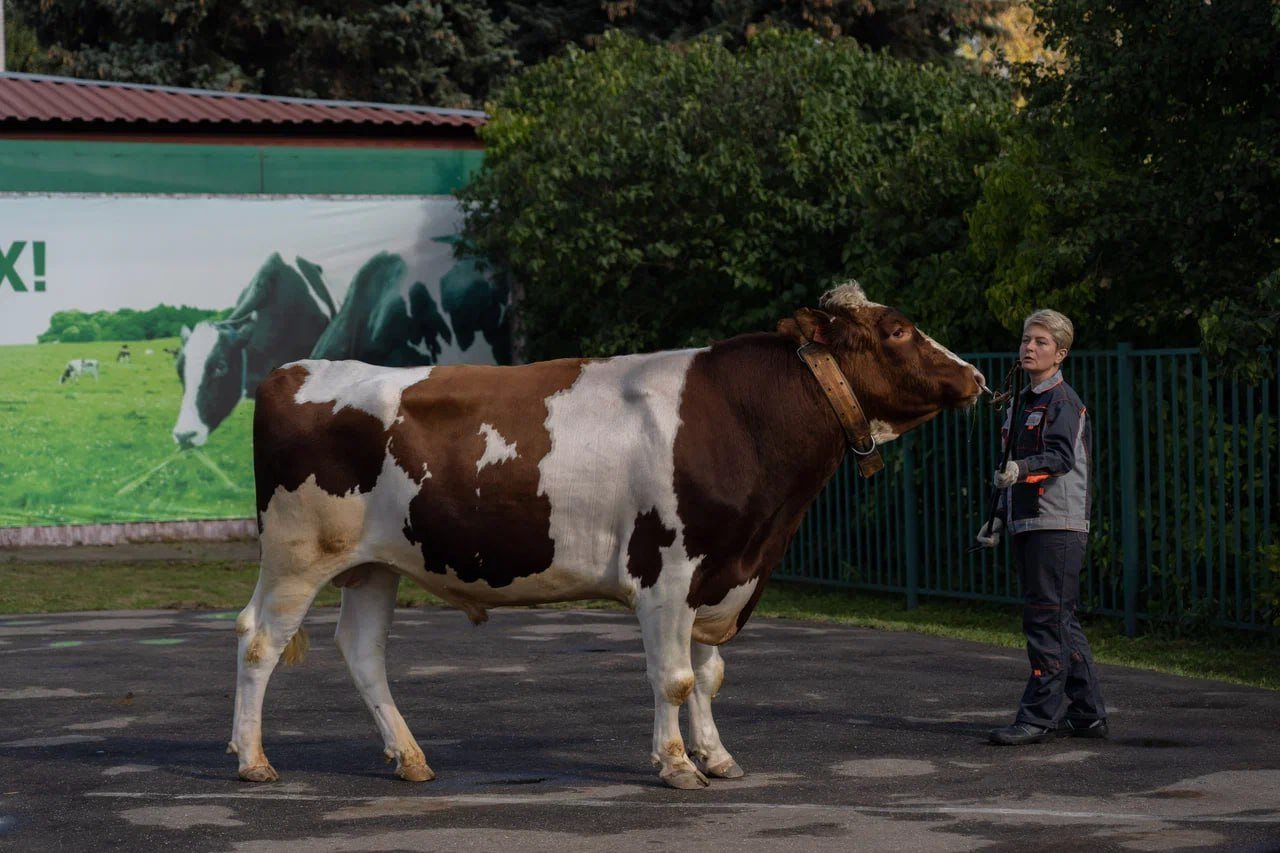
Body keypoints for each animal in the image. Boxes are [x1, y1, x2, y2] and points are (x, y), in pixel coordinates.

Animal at [230, 281, 983, 788]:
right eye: (897, 329)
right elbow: (675, 678)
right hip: (298, 553)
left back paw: (410, 757)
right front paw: (676, 765)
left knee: (362, 652)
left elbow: (710, 675)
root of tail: (296, 369)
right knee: (260, 639)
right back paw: (253, 759)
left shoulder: (722, 573)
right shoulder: (669, 573)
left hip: (373, 564)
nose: (976, 375)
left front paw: (717, 756)